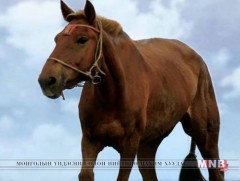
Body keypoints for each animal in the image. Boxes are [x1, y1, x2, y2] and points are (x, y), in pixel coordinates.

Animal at [37, 0, 223, 180]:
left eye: (82, 39)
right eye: (56, 39)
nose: (46, 80)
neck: (113, 96)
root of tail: (198, 58)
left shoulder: (129, 144)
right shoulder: (90, 140)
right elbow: (85, 175)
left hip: (206, 133)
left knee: (216, 171)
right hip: (149, 144)